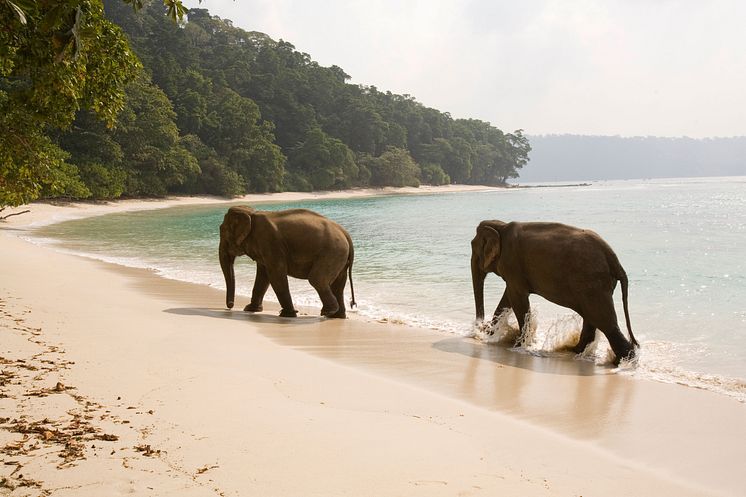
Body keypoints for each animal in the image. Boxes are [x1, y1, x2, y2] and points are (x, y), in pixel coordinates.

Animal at [218, 205, 354, 318]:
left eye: (222, 231)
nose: (230, 306)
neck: (251, 213)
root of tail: (346, 234)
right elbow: (263, 277)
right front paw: (250, 309)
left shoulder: (270, 242)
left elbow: (276, 275)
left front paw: (287, 314)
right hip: (339, 256)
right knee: (338, 285)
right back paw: (337, 316)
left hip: (333, 252)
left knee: (317, 279)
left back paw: (327, 312)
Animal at [470, 221, 632, 364]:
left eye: (473, 247)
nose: (481, 327)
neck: (500, 226)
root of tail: (615, 260)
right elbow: (509, 297)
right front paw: (492, 334)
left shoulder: (511, 263)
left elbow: (517, 299)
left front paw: (519, 344)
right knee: (593, 318)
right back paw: (576, 351)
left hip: (593, 283)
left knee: (604, 321)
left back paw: (622, 361)